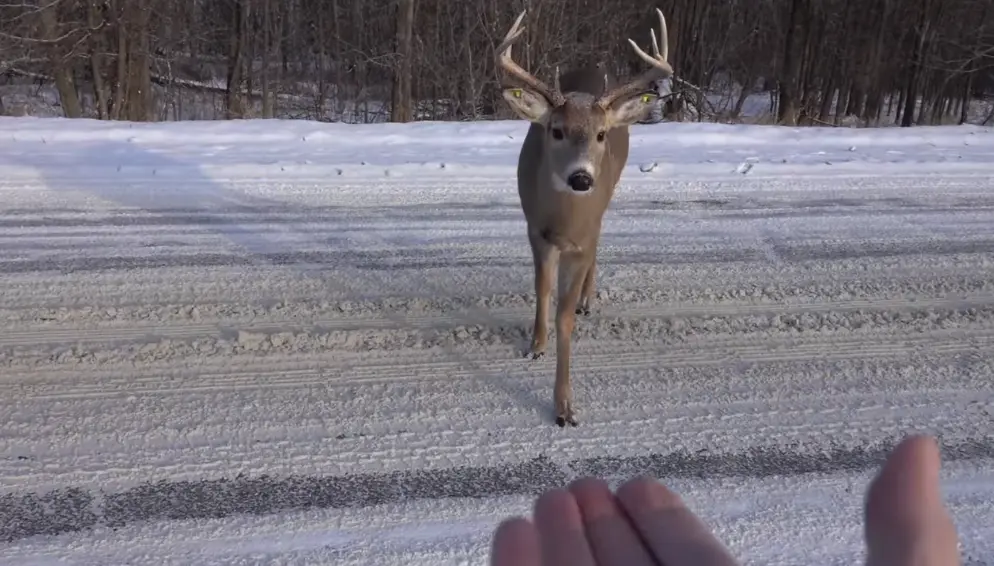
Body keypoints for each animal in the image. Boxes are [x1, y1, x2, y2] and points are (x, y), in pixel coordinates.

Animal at [494, 8, 676, 428]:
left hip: (608, 197)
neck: (564, 222)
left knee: (600, 241)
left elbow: (564, 317)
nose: (581, 178)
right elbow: (542, 289)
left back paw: (587, 300)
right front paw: (536, 345)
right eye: (556, 130)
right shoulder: (536, 231)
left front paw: (564, 408)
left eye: (601, 134)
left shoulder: (580, 241)